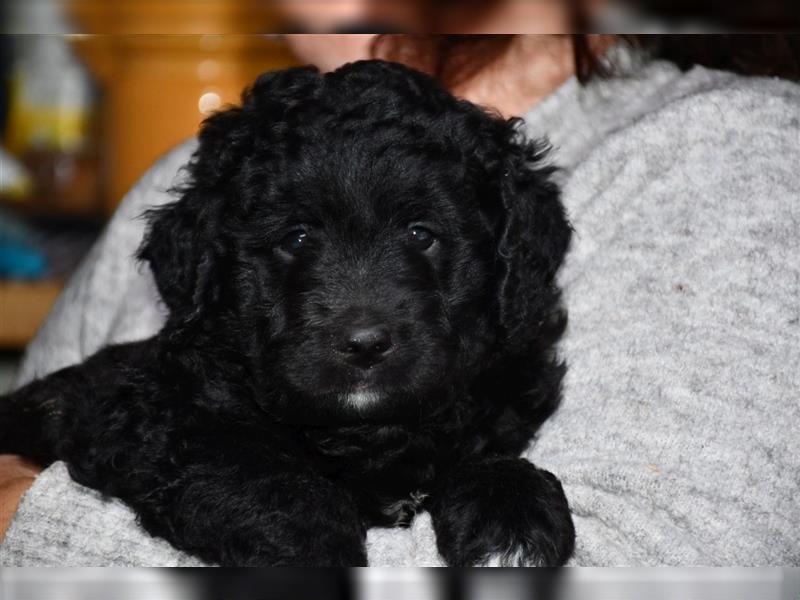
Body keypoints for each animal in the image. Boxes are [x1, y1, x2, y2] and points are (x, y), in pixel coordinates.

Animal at [0, 61, 576, 568]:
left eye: (422, 234)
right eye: (295, 239)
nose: (364, 344)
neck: (367, 433)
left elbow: (488, 456)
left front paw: (515, 518)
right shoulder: (157, 424)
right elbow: (270, 484)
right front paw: (318, 549)